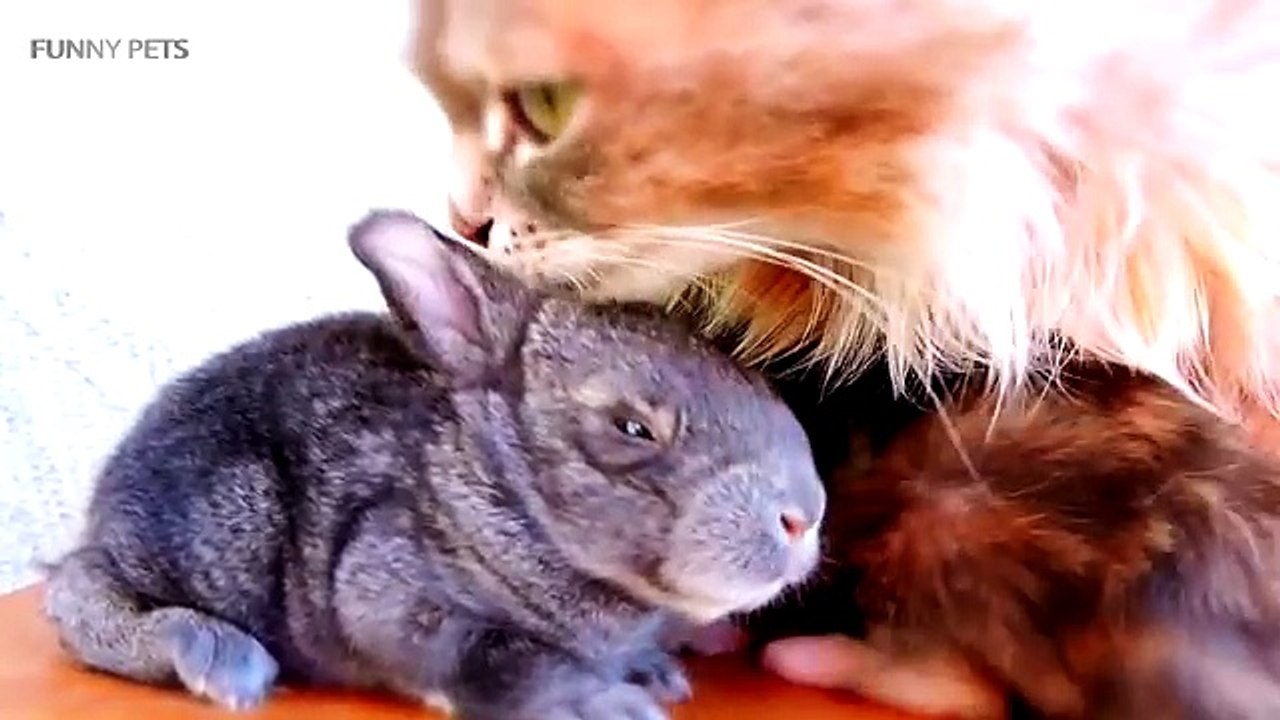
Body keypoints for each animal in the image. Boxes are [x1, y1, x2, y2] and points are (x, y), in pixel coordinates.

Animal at [41, 210, 826, 720]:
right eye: (632, 426)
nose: (804, 517)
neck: (503, 486)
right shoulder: (391, 588)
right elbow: (501, 657)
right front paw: (606, 705)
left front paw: (658, 674)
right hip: (228, 530)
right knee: (84, 600)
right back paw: (221, 661)